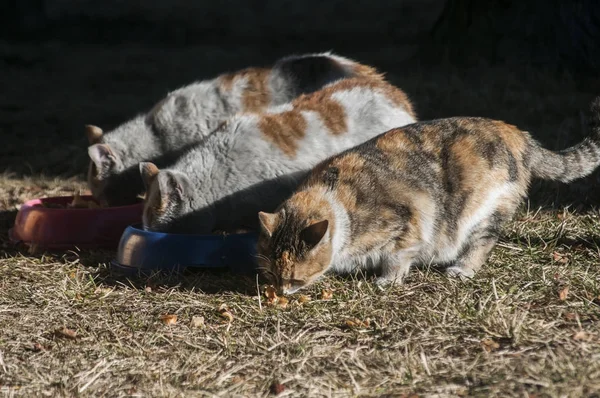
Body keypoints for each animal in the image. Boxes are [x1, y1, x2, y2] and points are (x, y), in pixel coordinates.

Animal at [255, 97, 600, 294]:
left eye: (295, 280)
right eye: (272, 274)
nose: (281, 293)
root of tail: (517, 133)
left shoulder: (408, 220)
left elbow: (398, 255)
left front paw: (388, 281)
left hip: (484, 210)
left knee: (482, 242)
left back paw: (461, 270)